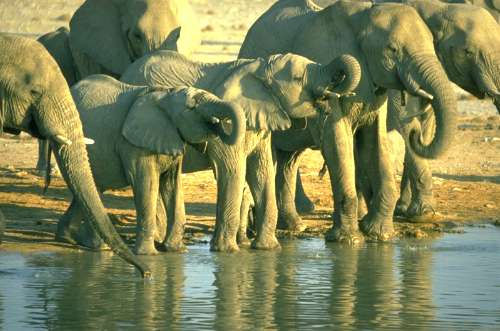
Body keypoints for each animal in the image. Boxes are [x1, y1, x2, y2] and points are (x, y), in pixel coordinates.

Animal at [57, 75, 245, 255]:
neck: (165, 95)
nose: (217, 122)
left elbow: (172, 185)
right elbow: (146, 184)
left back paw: (72, 238)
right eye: (192, 107)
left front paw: (177, 251)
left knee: (91, 190)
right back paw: (98, 247)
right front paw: (149, 255)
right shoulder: (134, 145)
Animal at [120, 50, 364, 252]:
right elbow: (232, 170)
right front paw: (226, 251)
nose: (333, 89)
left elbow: (261, 171)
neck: (259, 67)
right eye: (297, 78)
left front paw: (267, 248)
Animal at [238, 0, 458, 244]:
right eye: (392, 49)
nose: (415, 134)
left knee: (289, 159)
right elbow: (336, 141)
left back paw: (294, 226)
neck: (363, 18)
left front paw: (379, 234)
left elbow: (374, 142)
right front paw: (348, 240)